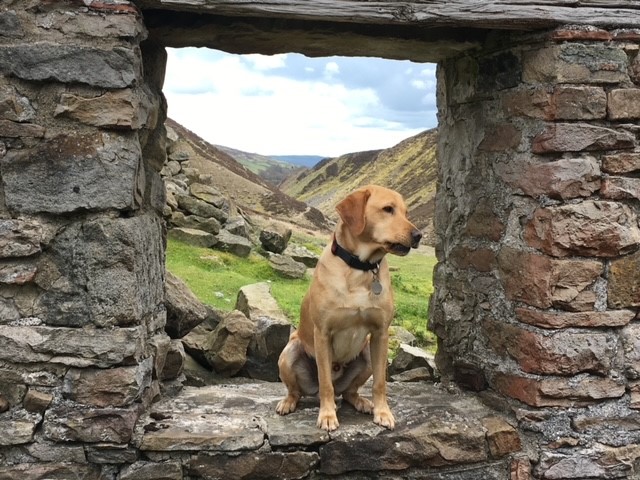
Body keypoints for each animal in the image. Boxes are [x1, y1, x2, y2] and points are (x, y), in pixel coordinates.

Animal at [274, 185, 420, 432]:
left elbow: (380, 383)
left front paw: (383, 412)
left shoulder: (380, 334)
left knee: (349, 392)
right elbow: (325, 384)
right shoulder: (322, 334)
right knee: (299, 391)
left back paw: (362, 402)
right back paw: (288, 402)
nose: (418, 235)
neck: (360, 268)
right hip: (289, 352)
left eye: (406, 212)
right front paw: (327, 415)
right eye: (388, 209)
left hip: (367, 354)